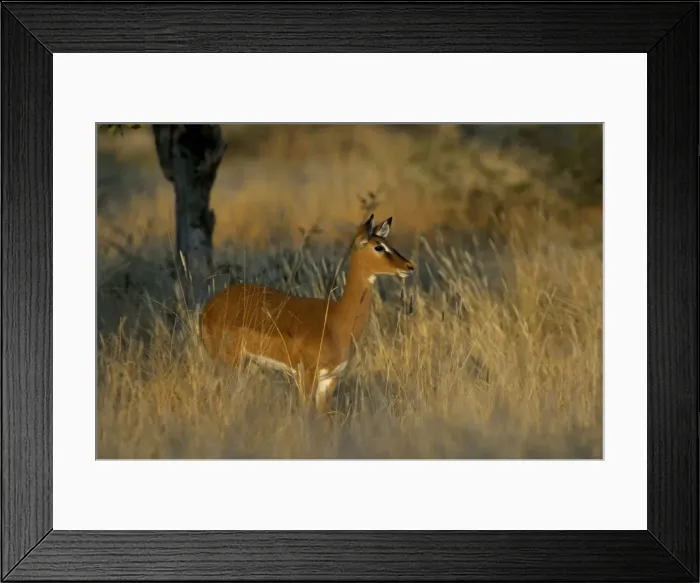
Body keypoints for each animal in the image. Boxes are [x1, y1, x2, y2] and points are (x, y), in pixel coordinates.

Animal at [198, 214, 415, 416]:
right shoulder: (306, 374)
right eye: (378, 247)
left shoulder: (330, 379)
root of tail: (207, 308)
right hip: (229, 362)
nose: (409, 266)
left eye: (389, 244)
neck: (336, 322)